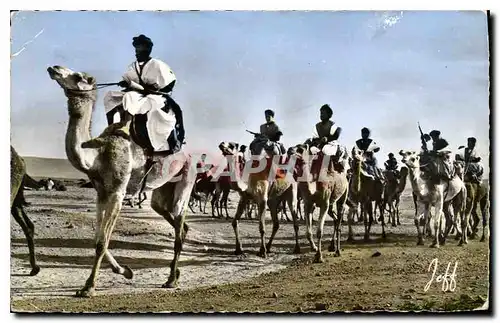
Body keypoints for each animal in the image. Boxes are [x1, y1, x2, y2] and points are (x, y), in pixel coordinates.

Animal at [47, 64, 195, 298]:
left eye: (79, 76)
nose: (54, 68)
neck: (97, 154)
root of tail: (190, 155)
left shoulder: (118, 191)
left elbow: (102, 242)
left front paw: (88, 287)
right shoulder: (101, 192)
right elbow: (97, 238)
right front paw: (125, 271)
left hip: (187, 178)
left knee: (179, 223)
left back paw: (171, 280)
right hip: (162, 189)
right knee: (172, 217)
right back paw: (176, 273)